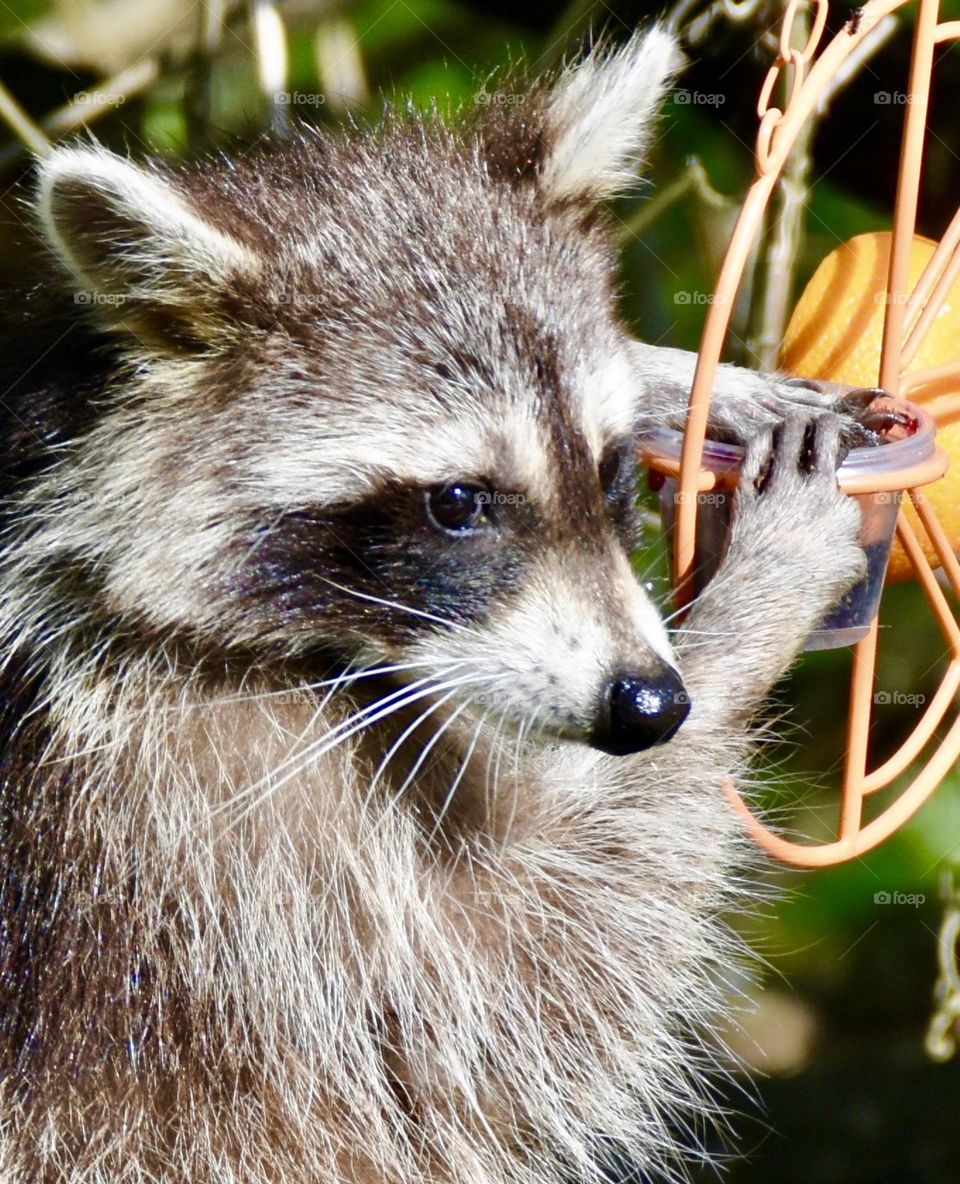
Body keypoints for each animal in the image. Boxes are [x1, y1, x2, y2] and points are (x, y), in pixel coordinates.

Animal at [0, 25, 866, 1184]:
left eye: (608, 470)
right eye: (458, 504)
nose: (651, 703)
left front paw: (688, 377)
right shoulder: (178, 827)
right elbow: (518, 989)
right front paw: (761, 598)